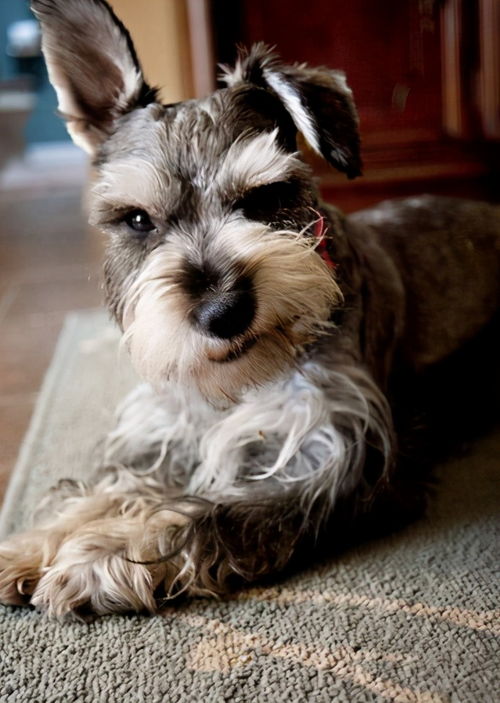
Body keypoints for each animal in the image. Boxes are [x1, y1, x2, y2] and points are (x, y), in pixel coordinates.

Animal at [0, 0, 500, 616]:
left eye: (265, 197)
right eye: (137, 220)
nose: (223, 311)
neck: (235, 387)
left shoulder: (337, 459)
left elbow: (213, 516)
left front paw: (103, 556)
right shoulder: (165, 428)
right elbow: (112, 486)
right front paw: (36, 544)